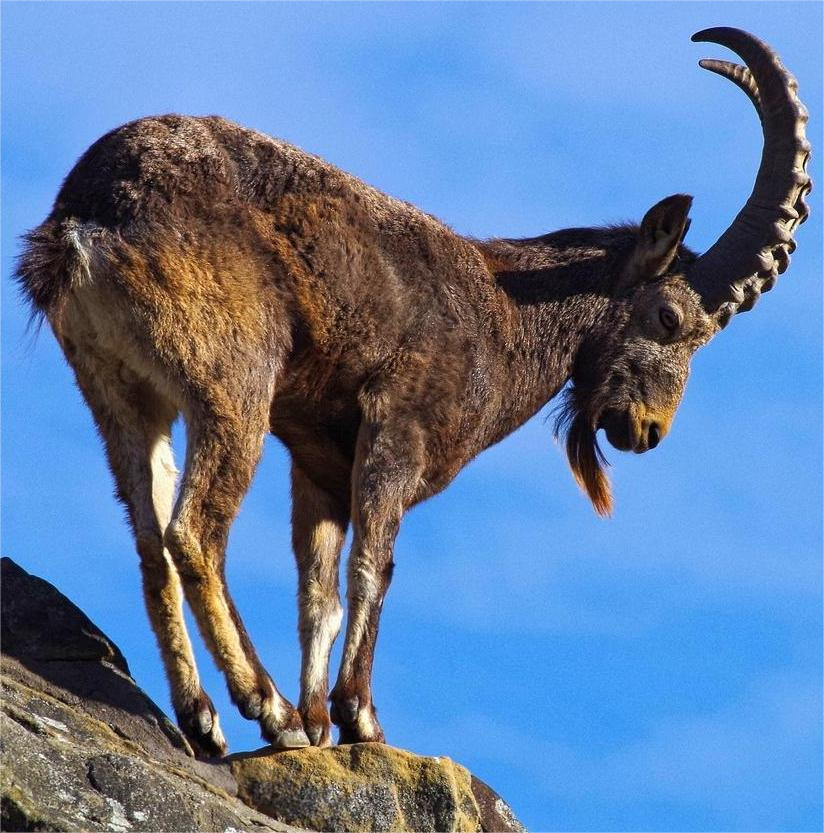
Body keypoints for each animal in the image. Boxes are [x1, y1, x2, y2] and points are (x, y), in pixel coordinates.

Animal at [16, 27, 808, 752]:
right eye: (669, 317)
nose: (646, 429)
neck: (506, 308)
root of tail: (87, 218)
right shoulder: (398, 429)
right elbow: (375, 567)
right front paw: (356, 716)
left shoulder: (319, 461)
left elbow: (319, 592)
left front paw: (320, 722)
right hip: (233, 385)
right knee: (194, 533)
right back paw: (265, 707)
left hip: (122, 395)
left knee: (151, 543)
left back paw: (206, 719)